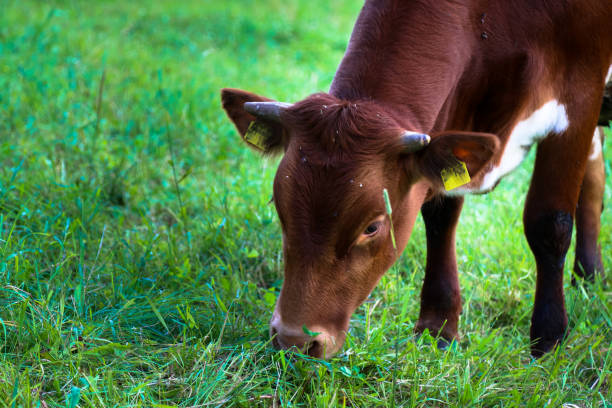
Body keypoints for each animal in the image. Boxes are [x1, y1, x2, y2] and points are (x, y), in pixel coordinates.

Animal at [221, 0, 612, 356]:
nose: (294, 340)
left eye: (372, 226)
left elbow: (549, 223)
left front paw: (548, 338)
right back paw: (589, 274)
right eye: (279, 206)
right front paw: (438, 325)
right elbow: (440, 218)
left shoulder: (580, 95)